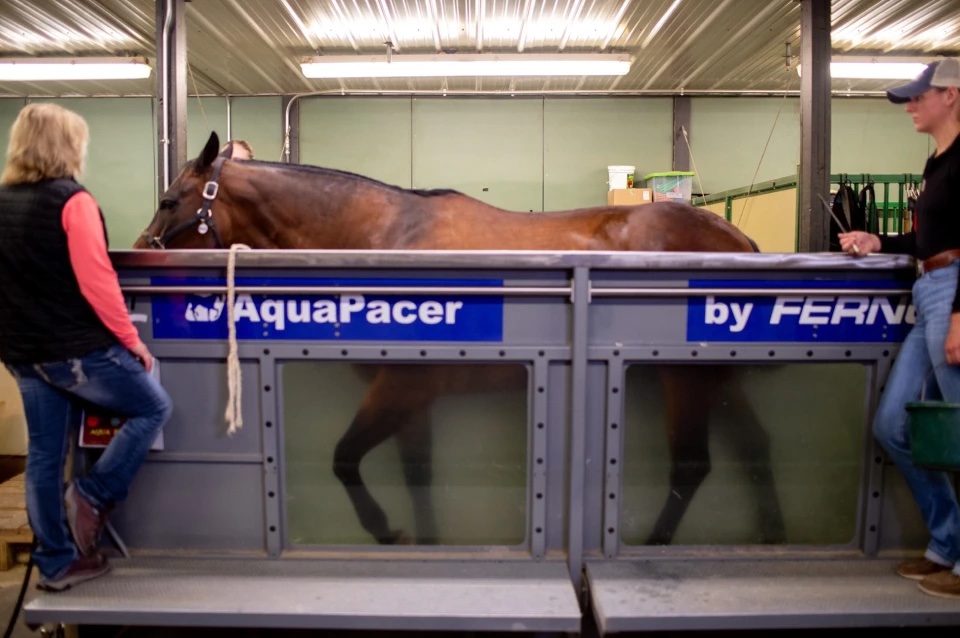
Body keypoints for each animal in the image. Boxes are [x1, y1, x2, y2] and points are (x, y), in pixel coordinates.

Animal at [134, 131, 786, 547]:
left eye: (170, 199)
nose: (138, 253)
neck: (385, 236)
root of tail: (734, 236)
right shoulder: (412, 396)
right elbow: (417, 474)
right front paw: (426, 539)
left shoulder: (400, 387)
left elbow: (346, 458)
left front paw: (385, 530)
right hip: (713, 381)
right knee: (754, 448)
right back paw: (771, 534)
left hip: (684, 379)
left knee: (692, 465)